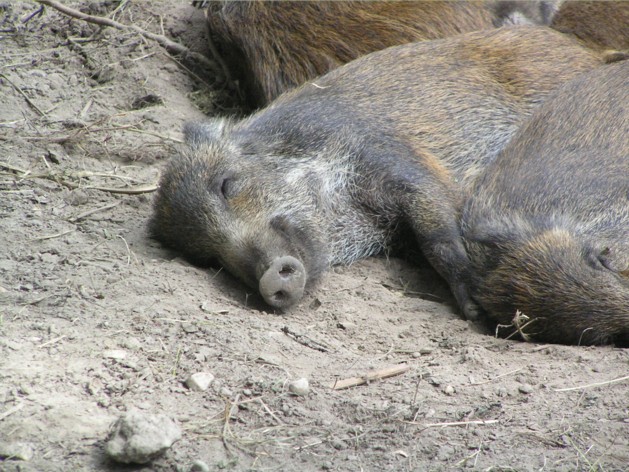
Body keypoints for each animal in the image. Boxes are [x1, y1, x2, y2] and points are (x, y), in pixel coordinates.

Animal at [150, 27, 606, 317]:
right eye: (207, 256)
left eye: (227, 184)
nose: (270, 281)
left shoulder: (394, 158)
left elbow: (439, 233)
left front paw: (475, 308)